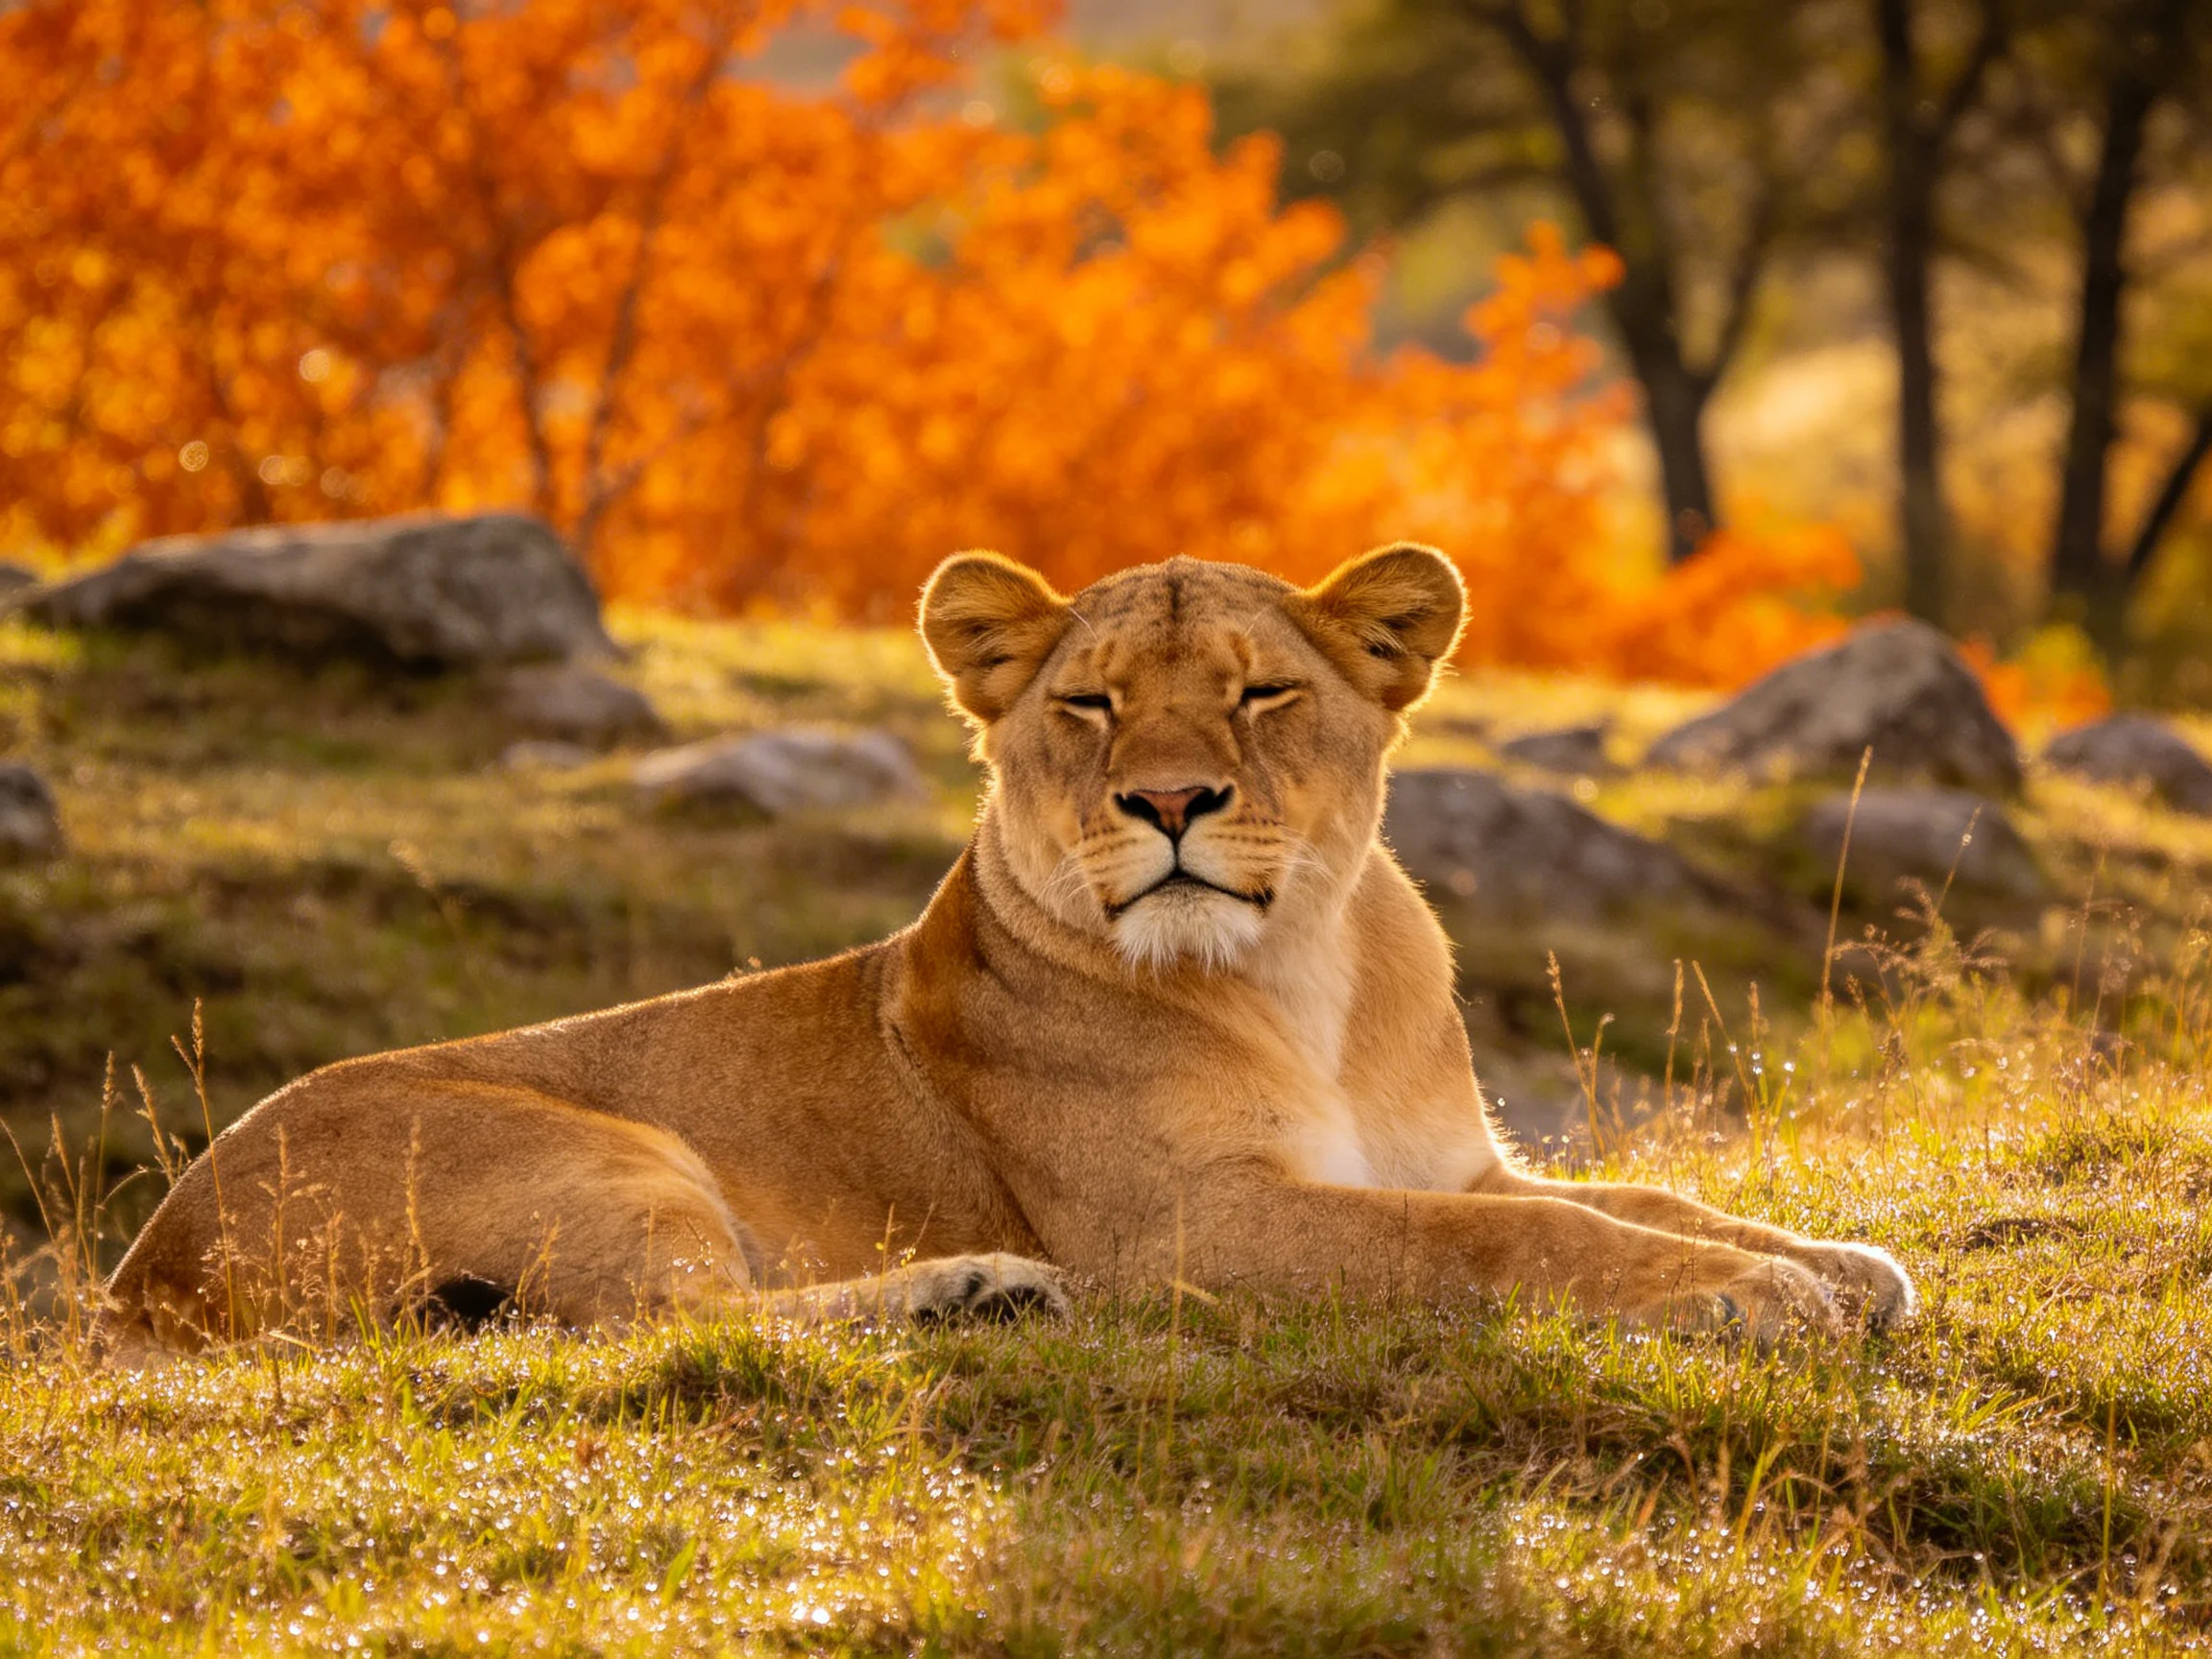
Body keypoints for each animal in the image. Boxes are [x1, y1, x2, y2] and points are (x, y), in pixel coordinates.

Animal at [97, 544, 1914, 1364]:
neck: (1303, 986)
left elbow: (1639, 1197)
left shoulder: (1449, 1156)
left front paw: (1834, 1260)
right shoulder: (1185, 1231)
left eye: (1261, 693)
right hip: (599, 1150)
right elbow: (1524, 1246)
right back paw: (973, 1287)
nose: (1168, 799)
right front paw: (1757, 1295)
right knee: (663, 1326)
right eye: (1089, 703)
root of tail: (139, 1268)